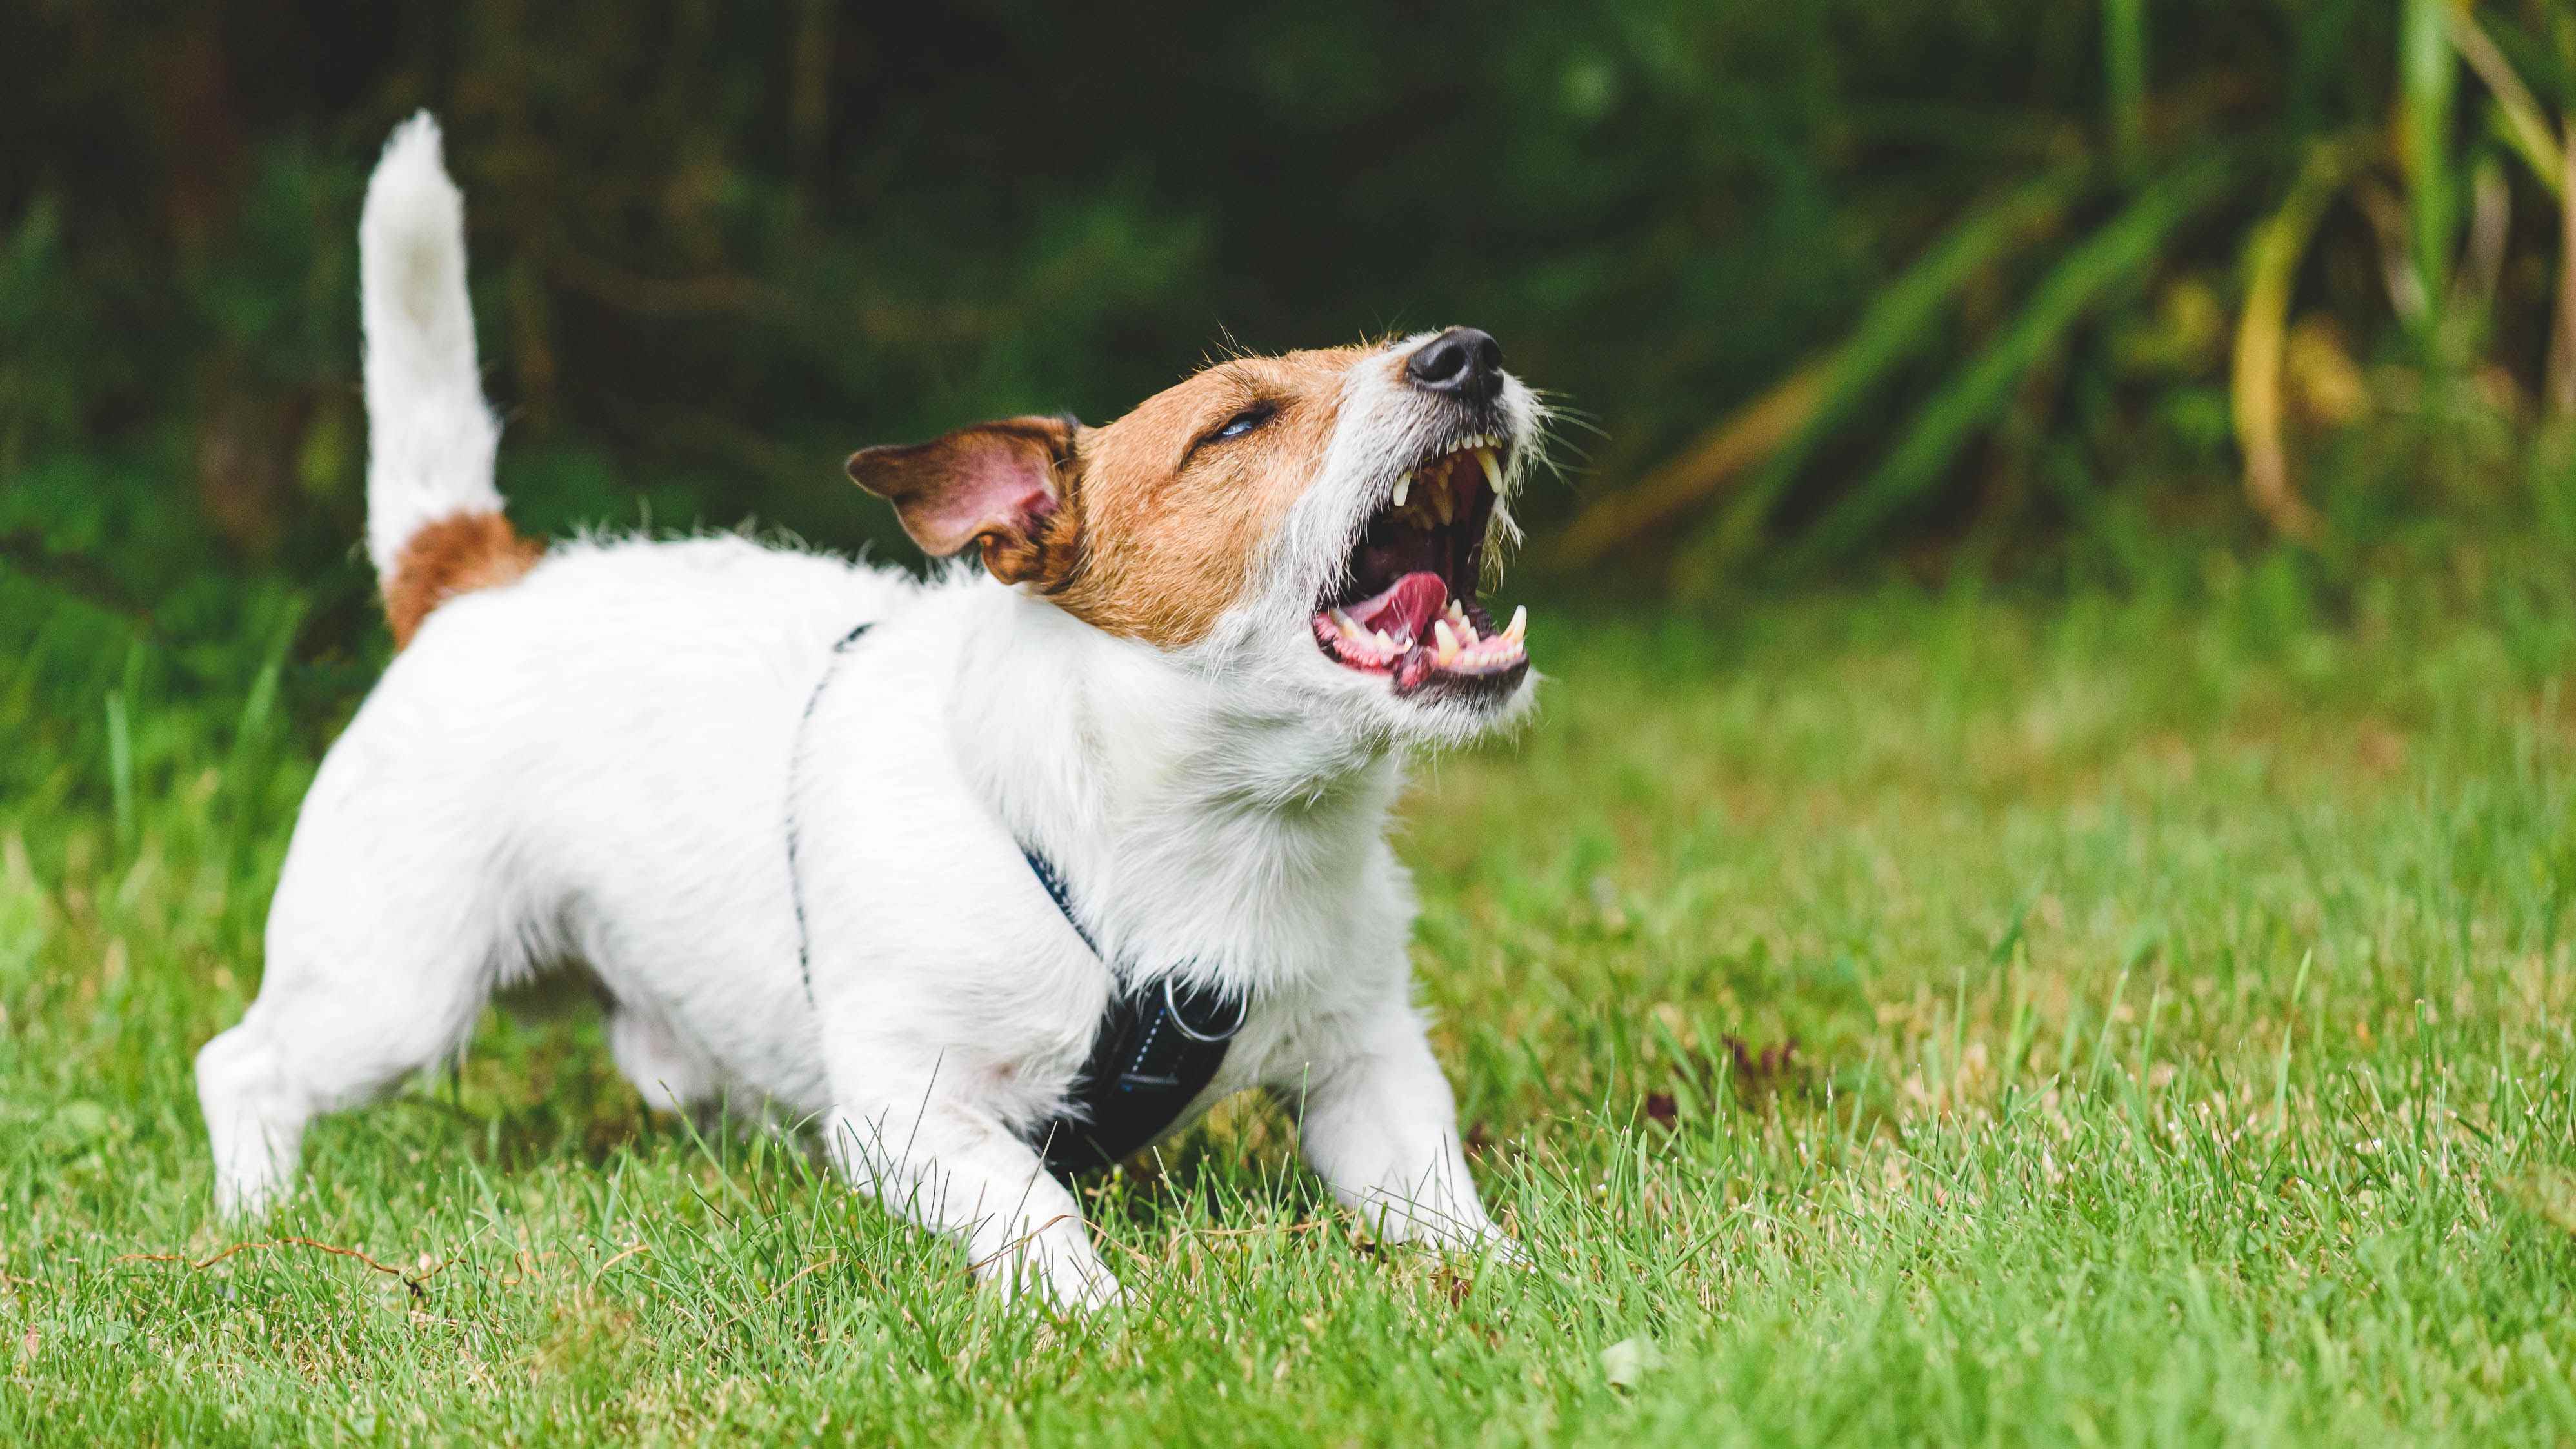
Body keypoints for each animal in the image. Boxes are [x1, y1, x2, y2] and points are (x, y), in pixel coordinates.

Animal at [195, 115, 1545, 1310]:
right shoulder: (912, 1106)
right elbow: (1028, 1197)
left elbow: (1434, 1194)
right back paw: (261, 1217)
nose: (1469, 352)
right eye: (1238, 423)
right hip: (395, 991)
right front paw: (1089, 1310)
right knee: (241, 1065)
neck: (1207, 833)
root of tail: (477, 571)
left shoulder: (1368, 1064)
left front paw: (1513, 1285)